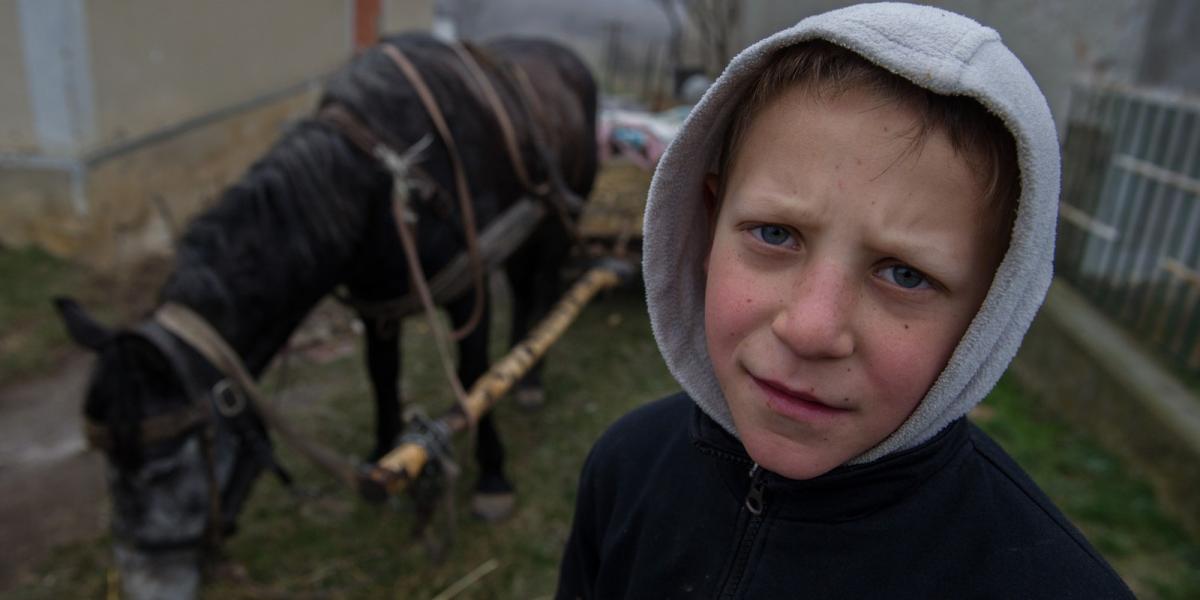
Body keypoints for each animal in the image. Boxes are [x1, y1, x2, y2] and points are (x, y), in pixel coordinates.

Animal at [55, 35, 595, 597]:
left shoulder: (470, 287)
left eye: (163, 465)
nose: (146, 585)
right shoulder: (378, 301)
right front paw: (383, 458)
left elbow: (474, 378)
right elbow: (382, 375)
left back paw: (529, 378)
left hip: (561, 215)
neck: (385, 181)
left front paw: (493, 476)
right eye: (107, 461)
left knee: (546, 284)